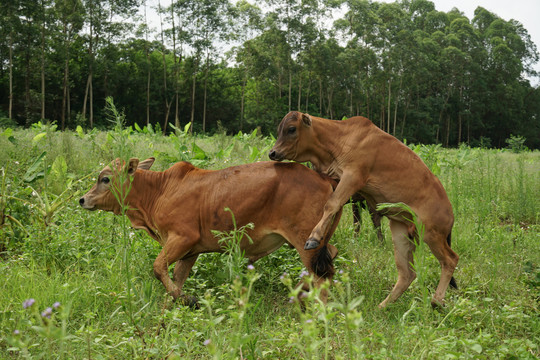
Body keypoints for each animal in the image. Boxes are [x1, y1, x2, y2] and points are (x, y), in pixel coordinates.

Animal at [79, 157, 342, 304]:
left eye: (105, 179)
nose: (82, 199)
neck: (159, 191)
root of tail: (324, 179)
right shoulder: (190, 252)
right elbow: (176, 280)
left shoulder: (182, 238)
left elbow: (158, 268)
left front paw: (190, 300)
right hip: (318, 241)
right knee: (331, 257)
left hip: (306, 241)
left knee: (322, 277)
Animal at [268, 111, 458, 308]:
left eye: (291, 129)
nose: (272, 153)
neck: (338, 140)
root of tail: (449, 210)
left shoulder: (353, 177)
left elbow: (331, 204)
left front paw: (313, 238)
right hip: (401, 232)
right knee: (407, 273)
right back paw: (382, 306)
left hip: (431, 233)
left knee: (450, 260)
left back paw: (436, 301)